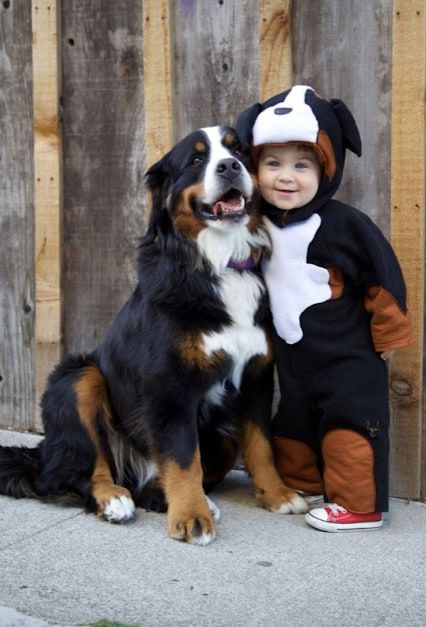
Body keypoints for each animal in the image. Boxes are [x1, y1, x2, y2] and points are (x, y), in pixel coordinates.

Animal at [0, 126, 308, 544]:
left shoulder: (256, 378)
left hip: (221, 438)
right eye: (196, 159)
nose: (230, 166)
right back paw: (114, 499)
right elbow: (182, 458)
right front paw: (192, 517)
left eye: (240, 151)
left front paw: (277, 495)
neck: (220, 264)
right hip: (76, 378)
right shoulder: (169, 385)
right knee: (81, 473)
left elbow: (261, 446)